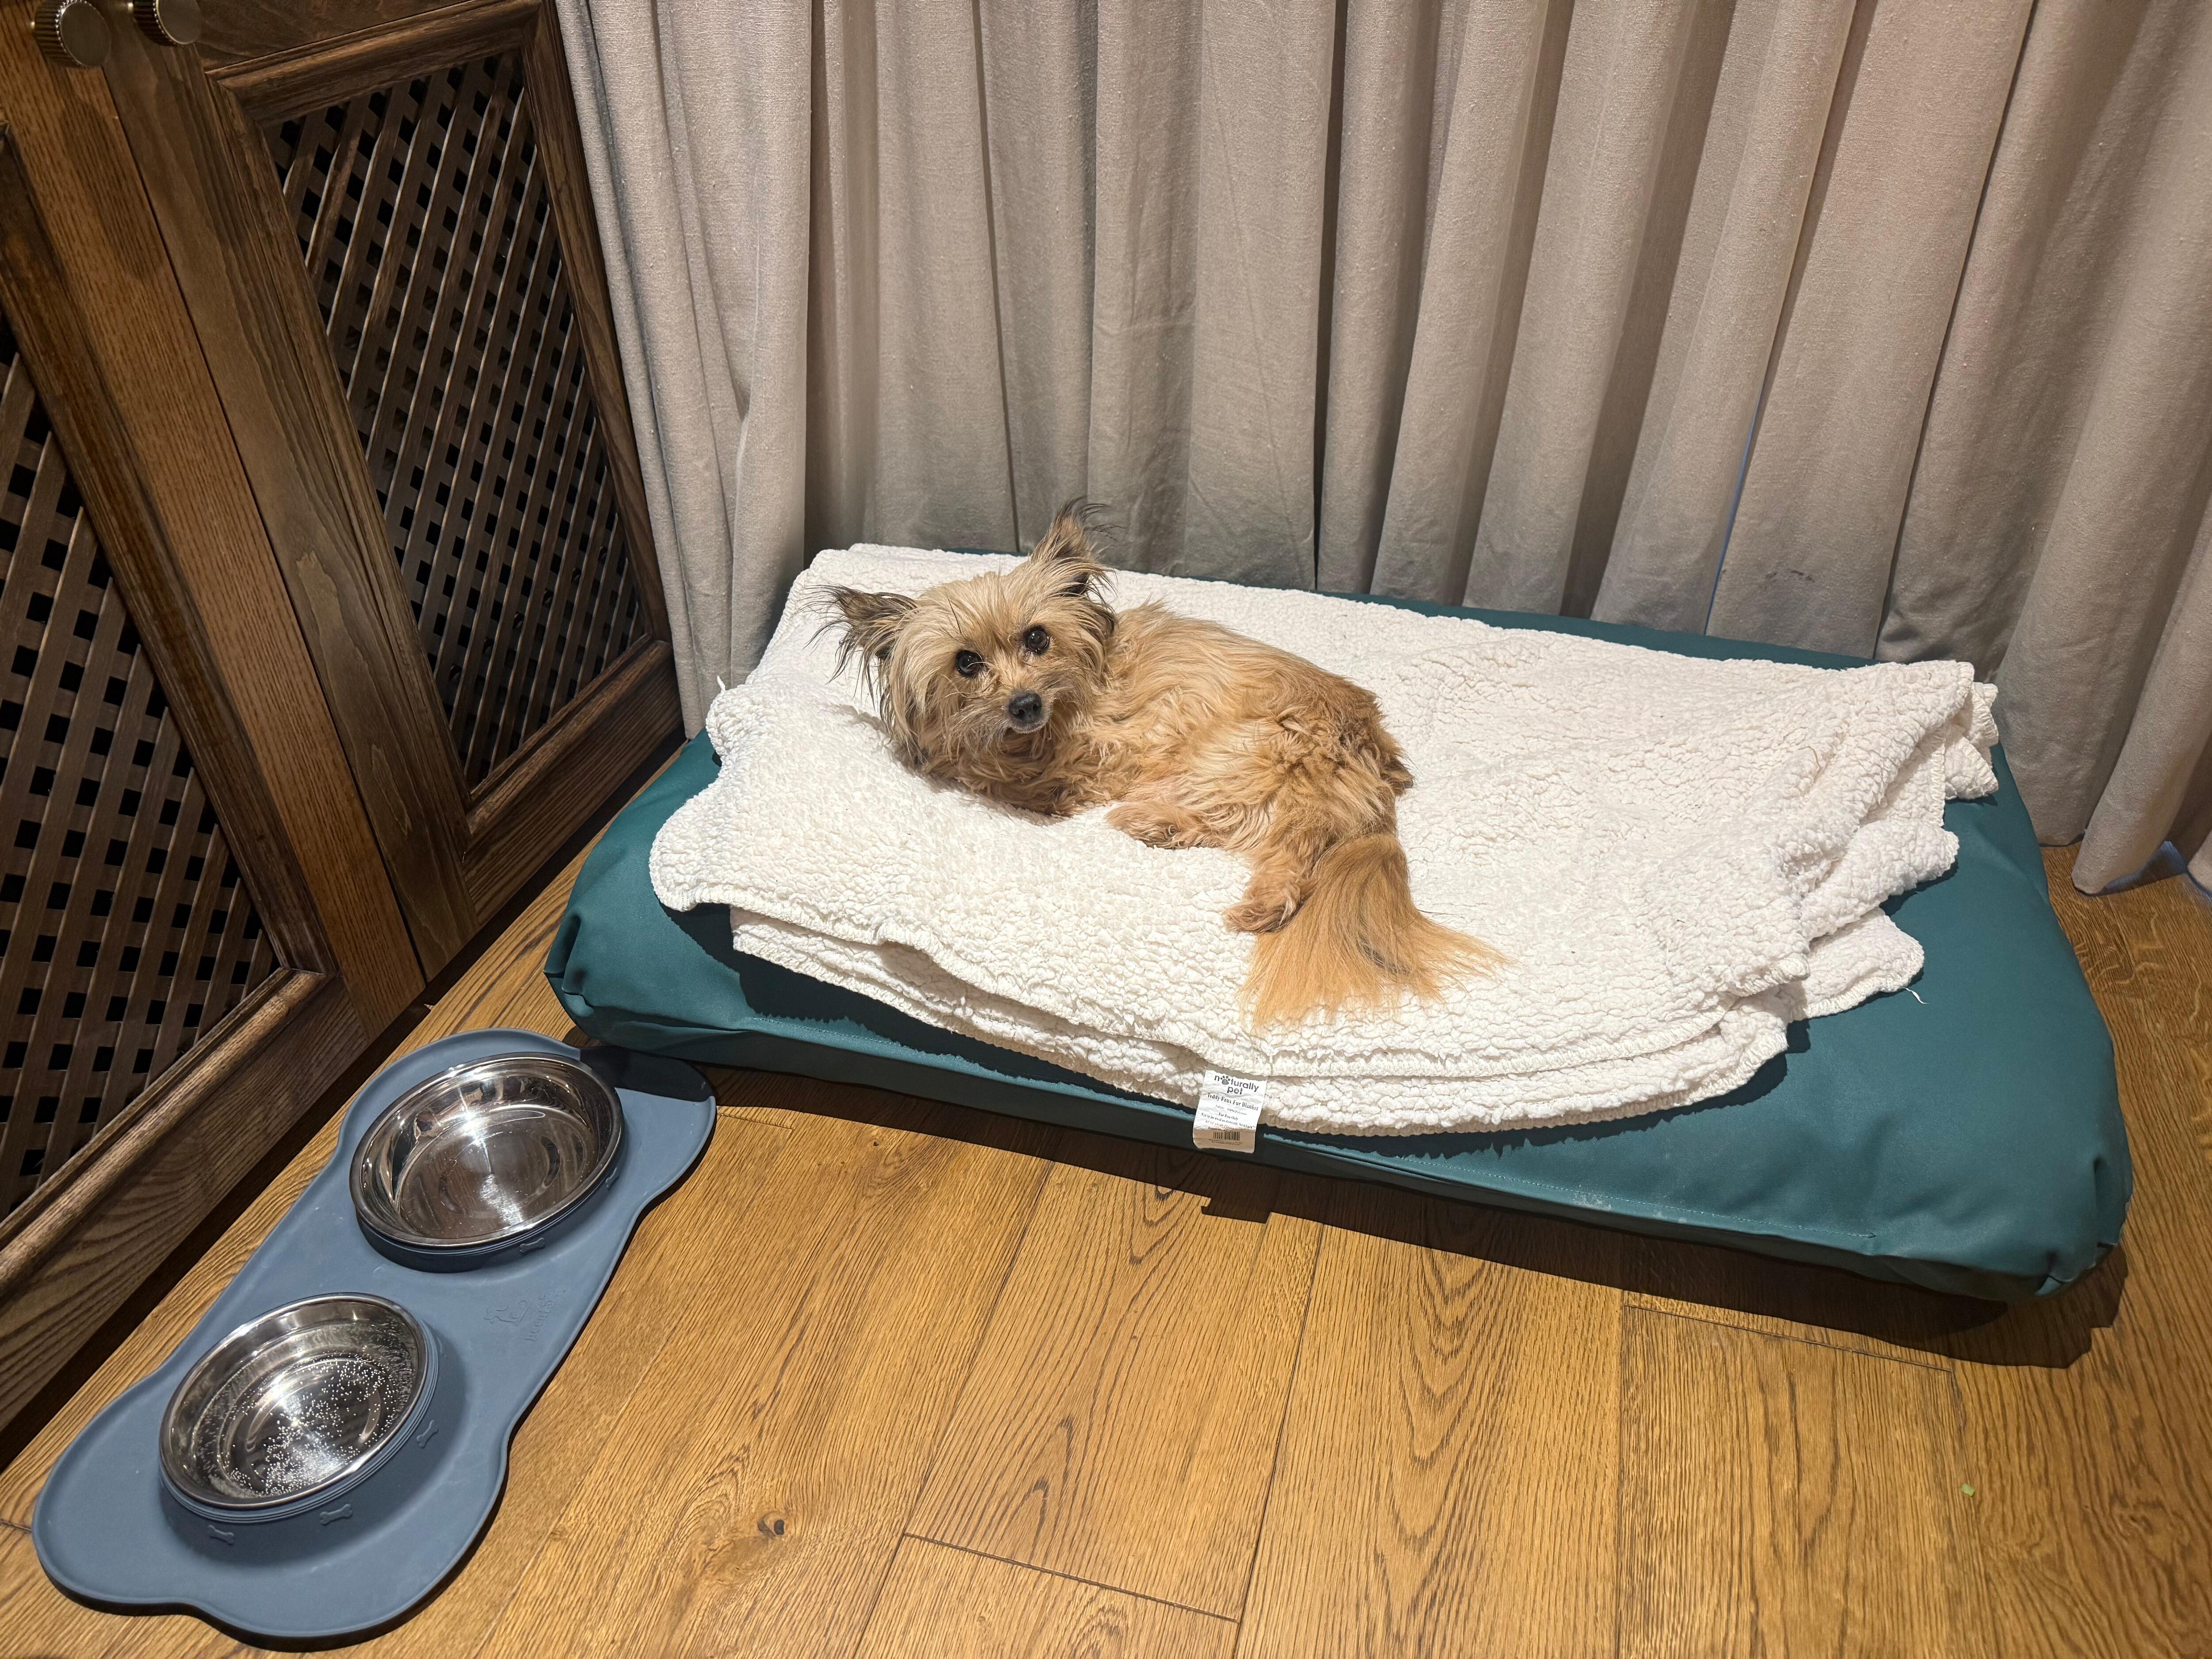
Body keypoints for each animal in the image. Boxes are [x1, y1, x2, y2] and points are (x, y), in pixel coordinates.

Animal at [832, 507, 1504, 1026]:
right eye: (966, 663)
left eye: (1038, 639)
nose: (1024, 704)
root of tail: (1372, 793)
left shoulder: (1110, 747)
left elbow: (1008, 777)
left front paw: (976, 767)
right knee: (1266, 844)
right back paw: (1172, 835)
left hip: (1235, 752)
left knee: (1288, 857)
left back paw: (1198, 860)